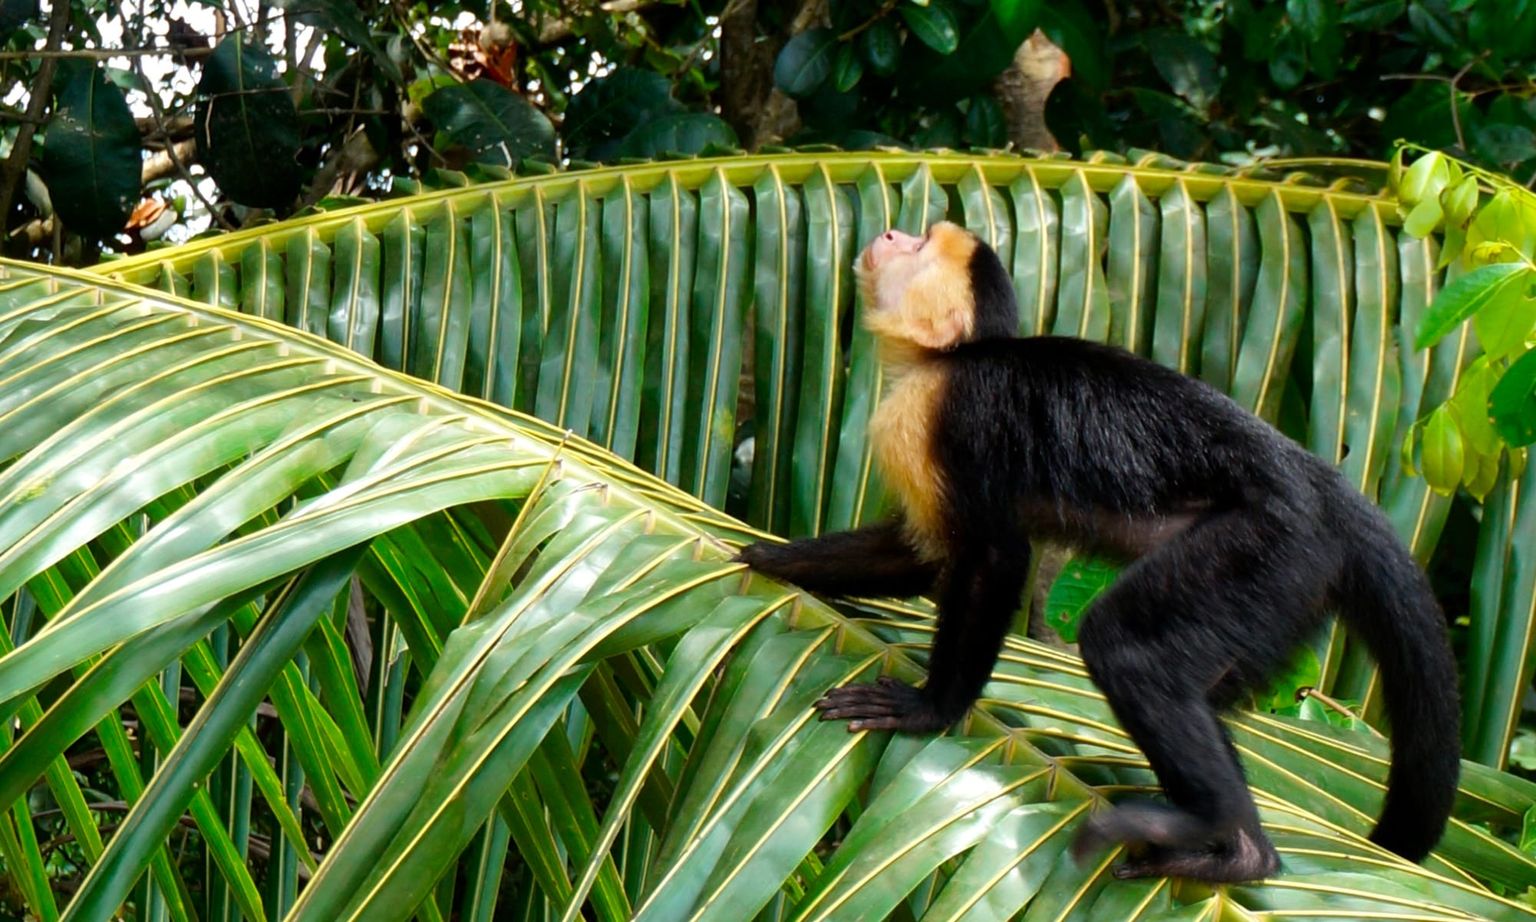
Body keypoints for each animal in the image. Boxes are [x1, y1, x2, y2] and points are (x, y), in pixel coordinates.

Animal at [736, 221, 1460, 883]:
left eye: (919, 246)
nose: (890, 232)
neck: (946, 361)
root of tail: (1314, 481)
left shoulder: (942, 410)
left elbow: (992, 557)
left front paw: (931, 709)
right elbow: (920, 556)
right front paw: (767, 560)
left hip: (1265, 546)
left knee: (1125, 647)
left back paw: (1226, 836)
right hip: (1286, 588)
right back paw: (1241, 843)